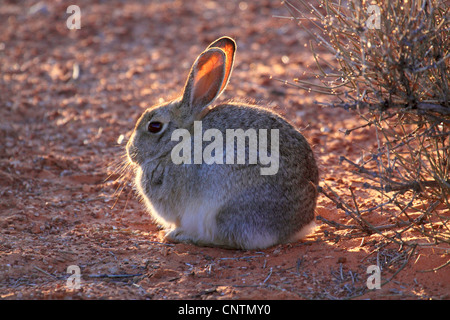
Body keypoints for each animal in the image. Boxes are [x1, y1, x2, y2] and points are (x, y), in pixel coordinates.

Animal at [125, 35, 318, 250]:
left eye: (154, 126)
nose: (130, 151)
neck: (178, 141)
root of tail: (297, 227)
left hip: (222, 204)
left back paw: (180, 236)